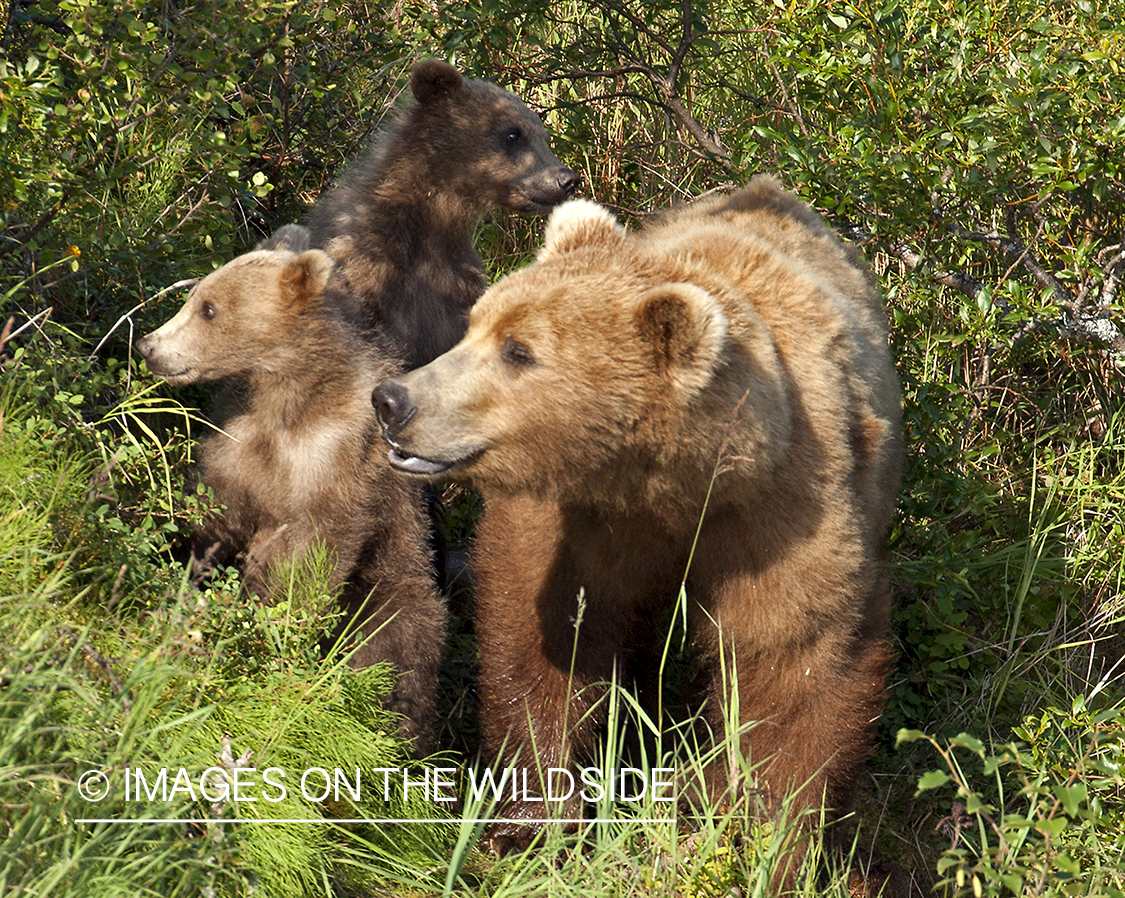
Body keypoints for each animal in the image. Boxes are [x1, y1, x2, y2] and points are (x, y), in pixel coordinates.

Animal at [136, 238, 443, 751]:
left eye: (209, 308)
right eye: (195, 296)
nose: (149, 346)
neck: (284, 395)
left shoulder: (333, 464)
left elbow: (308, 555)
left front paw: (263, 616)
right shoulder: (236, 439)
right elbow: (212, 515)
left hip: (394, 582)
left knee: (395, 639)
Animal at [375, 175, 904, 859]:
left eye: (518, 350)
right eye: (474, 325)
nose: (393, 399)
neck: (672, 481)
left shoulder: (780, 514)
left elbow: (794, 658)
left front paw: (762, 832)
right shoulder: (580, 516)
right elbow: (552, 633)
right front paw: (531, 819)